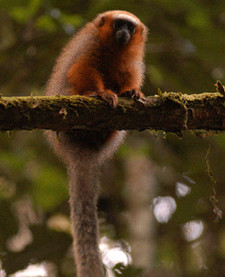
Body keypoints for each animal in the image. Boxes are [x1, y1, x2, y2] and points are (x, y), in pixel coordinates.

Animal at [45, 10, 148, 276]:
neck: (114, 48)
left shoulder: (130, 60)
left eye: (130, 27)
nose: (123, 32)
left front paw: (131, 92)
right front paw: (99, 93)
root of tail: (82, 151)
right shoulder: (90, 44)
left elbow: (127, 75)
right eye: (119, 24)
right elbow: (82, 67)